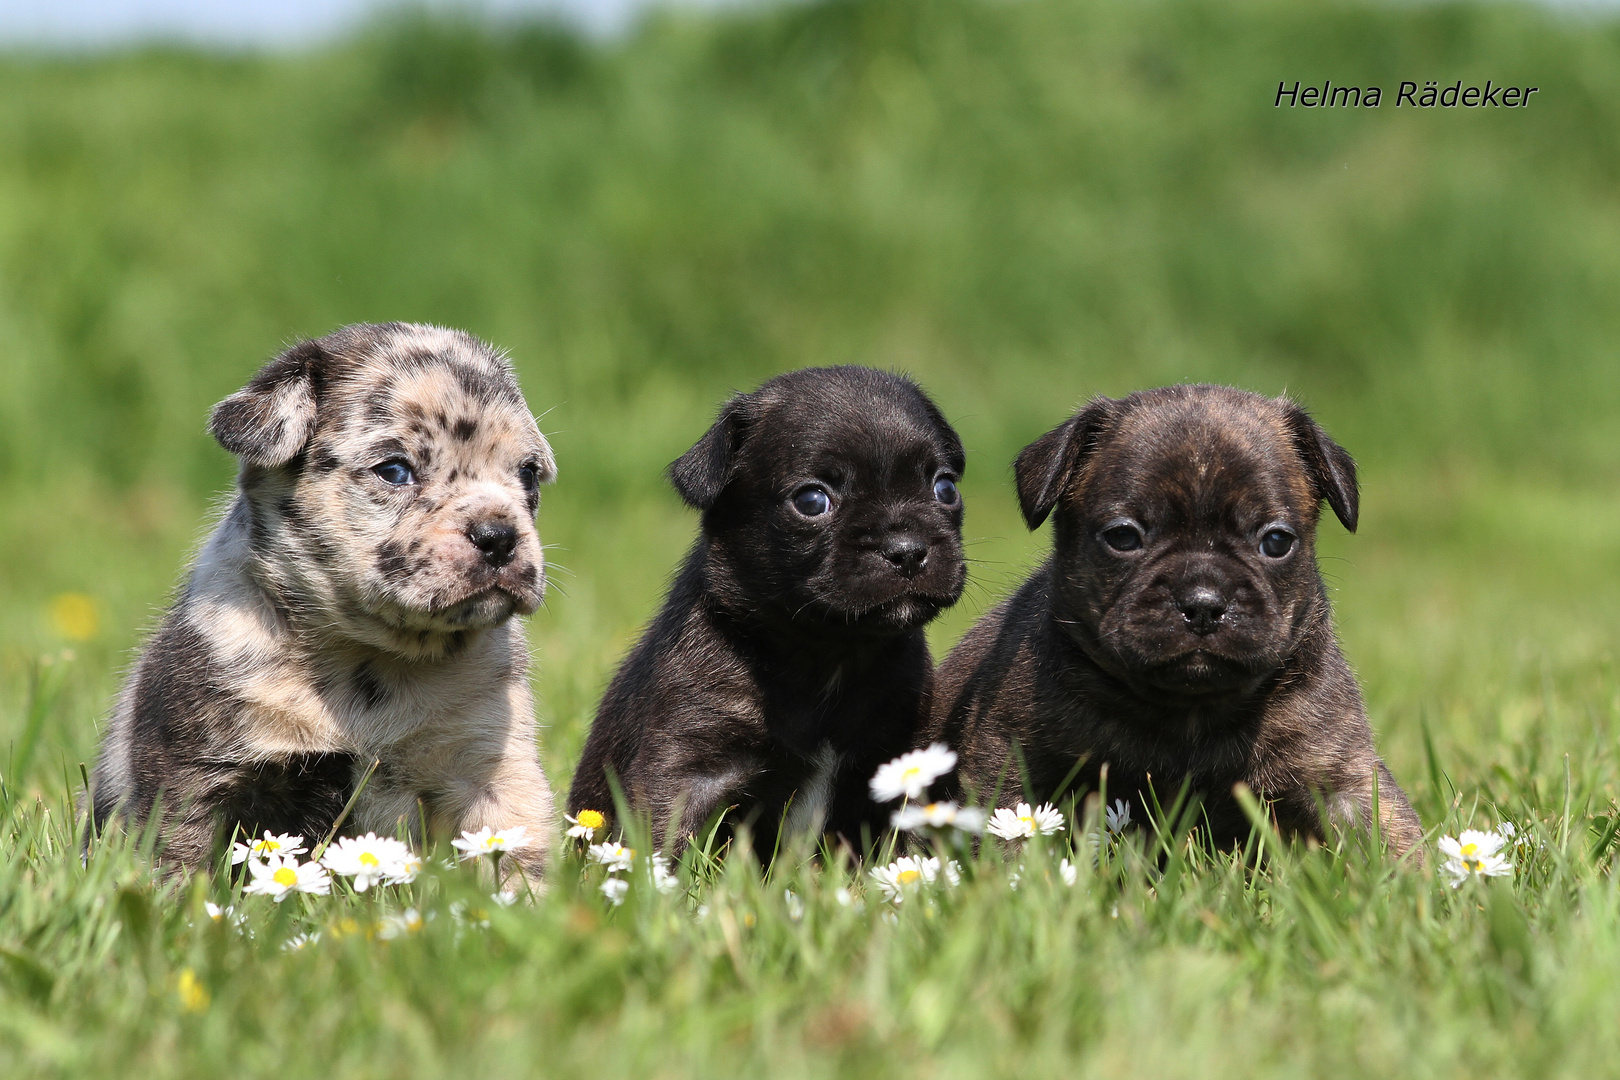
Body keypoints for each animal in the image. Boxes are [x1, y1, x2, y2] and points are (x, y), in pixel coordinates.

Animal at [88, 323, 560, 880]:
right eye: (394, 470)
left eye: (527, 473)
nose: (498, 536)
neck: (377, 660)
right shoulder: (193, 775)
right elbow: (178, 865)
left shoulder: (494, 768)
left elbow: (516, 862)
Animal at [570, 367, 959, 854]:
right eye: (812, 501)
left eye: (945, 488)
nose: (906, 550)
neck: (828, 655)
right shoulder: (685, 772)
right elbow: (663, 842)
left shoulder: (899, 758)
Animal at [933, 383, 1425, 854]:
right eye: (1124, 537)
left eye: (1276, 541)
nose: (1203, 602)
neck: (1189, 709)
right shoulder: (1013, 761)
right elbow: (1008, 840)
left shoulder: (1338, 772)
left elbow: (1389, 834)